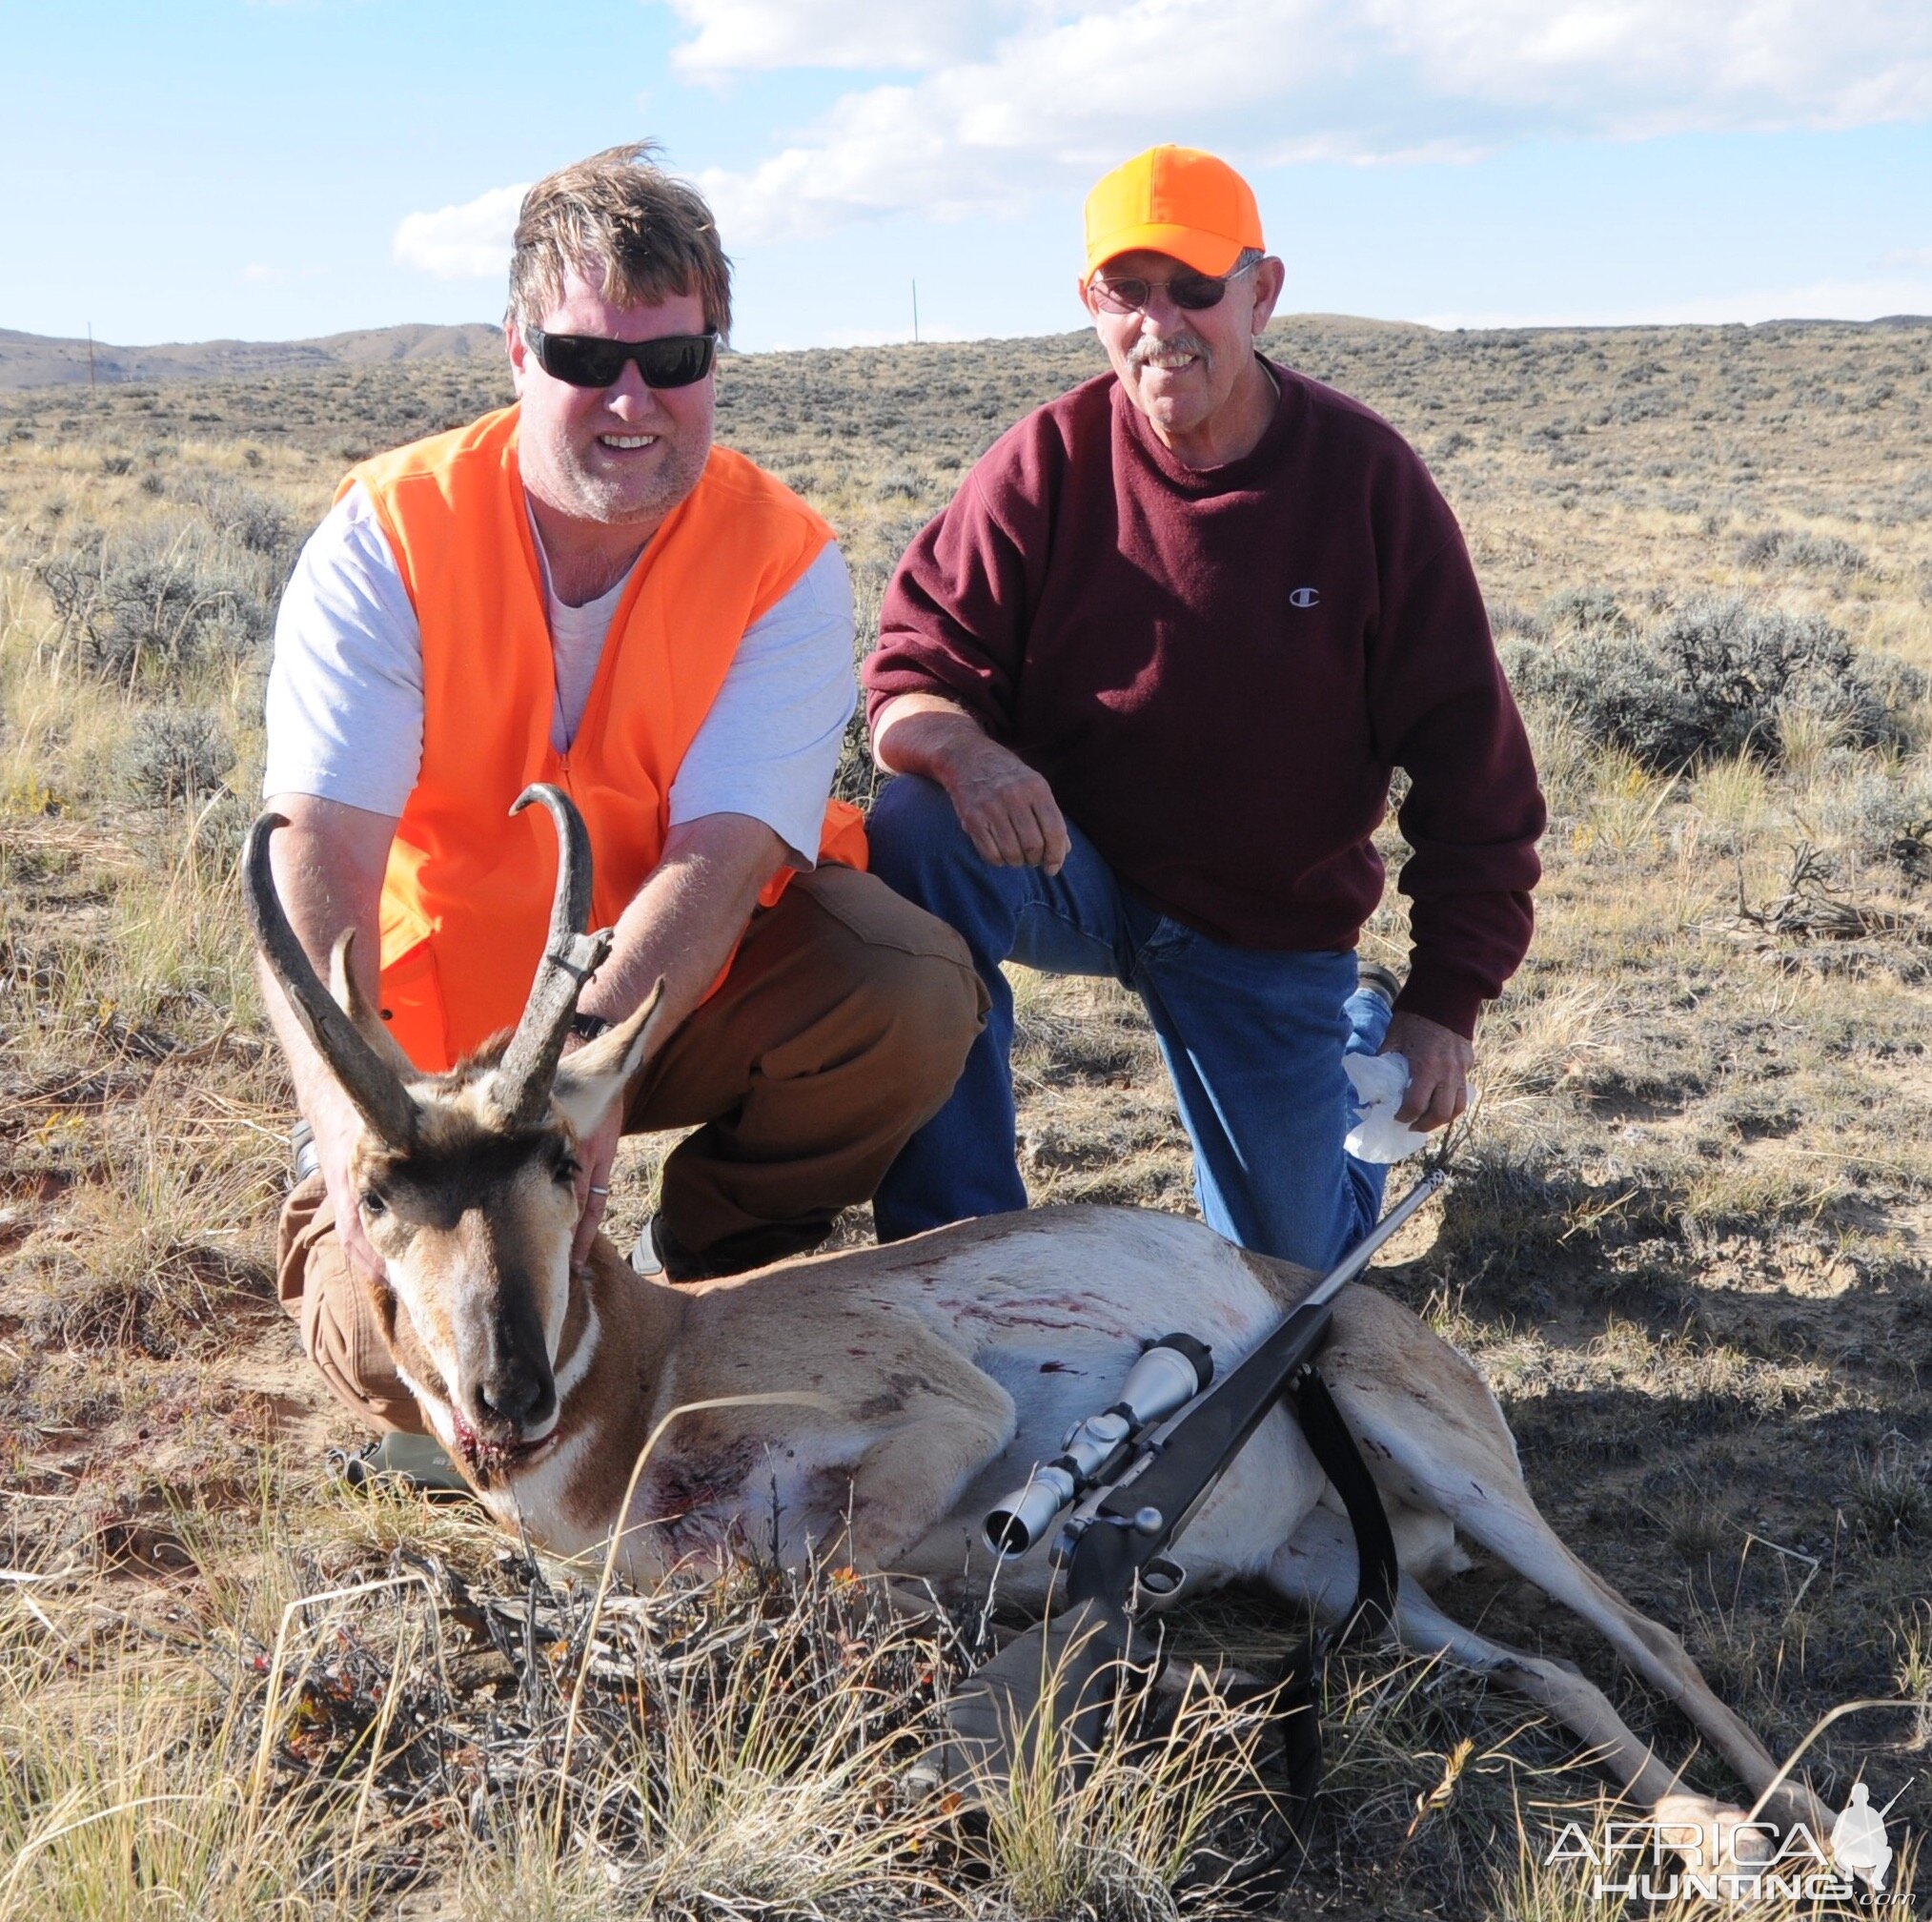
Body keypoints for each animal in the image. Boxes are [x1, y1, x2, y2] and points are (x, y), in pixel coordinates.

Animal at [249, 784, 1831, 1846]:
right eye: (379, 1187)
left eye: (558, 1161)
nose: (506, 1395)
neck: (659, 1363)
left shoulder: (952, 1418)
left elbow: (846, 1574)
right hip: (1352, 1591)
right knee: (1550, 1670)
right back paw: (1711, 1837)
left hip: (1453, 1472)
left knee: (1644, 1633)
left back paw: (1807, 1825)